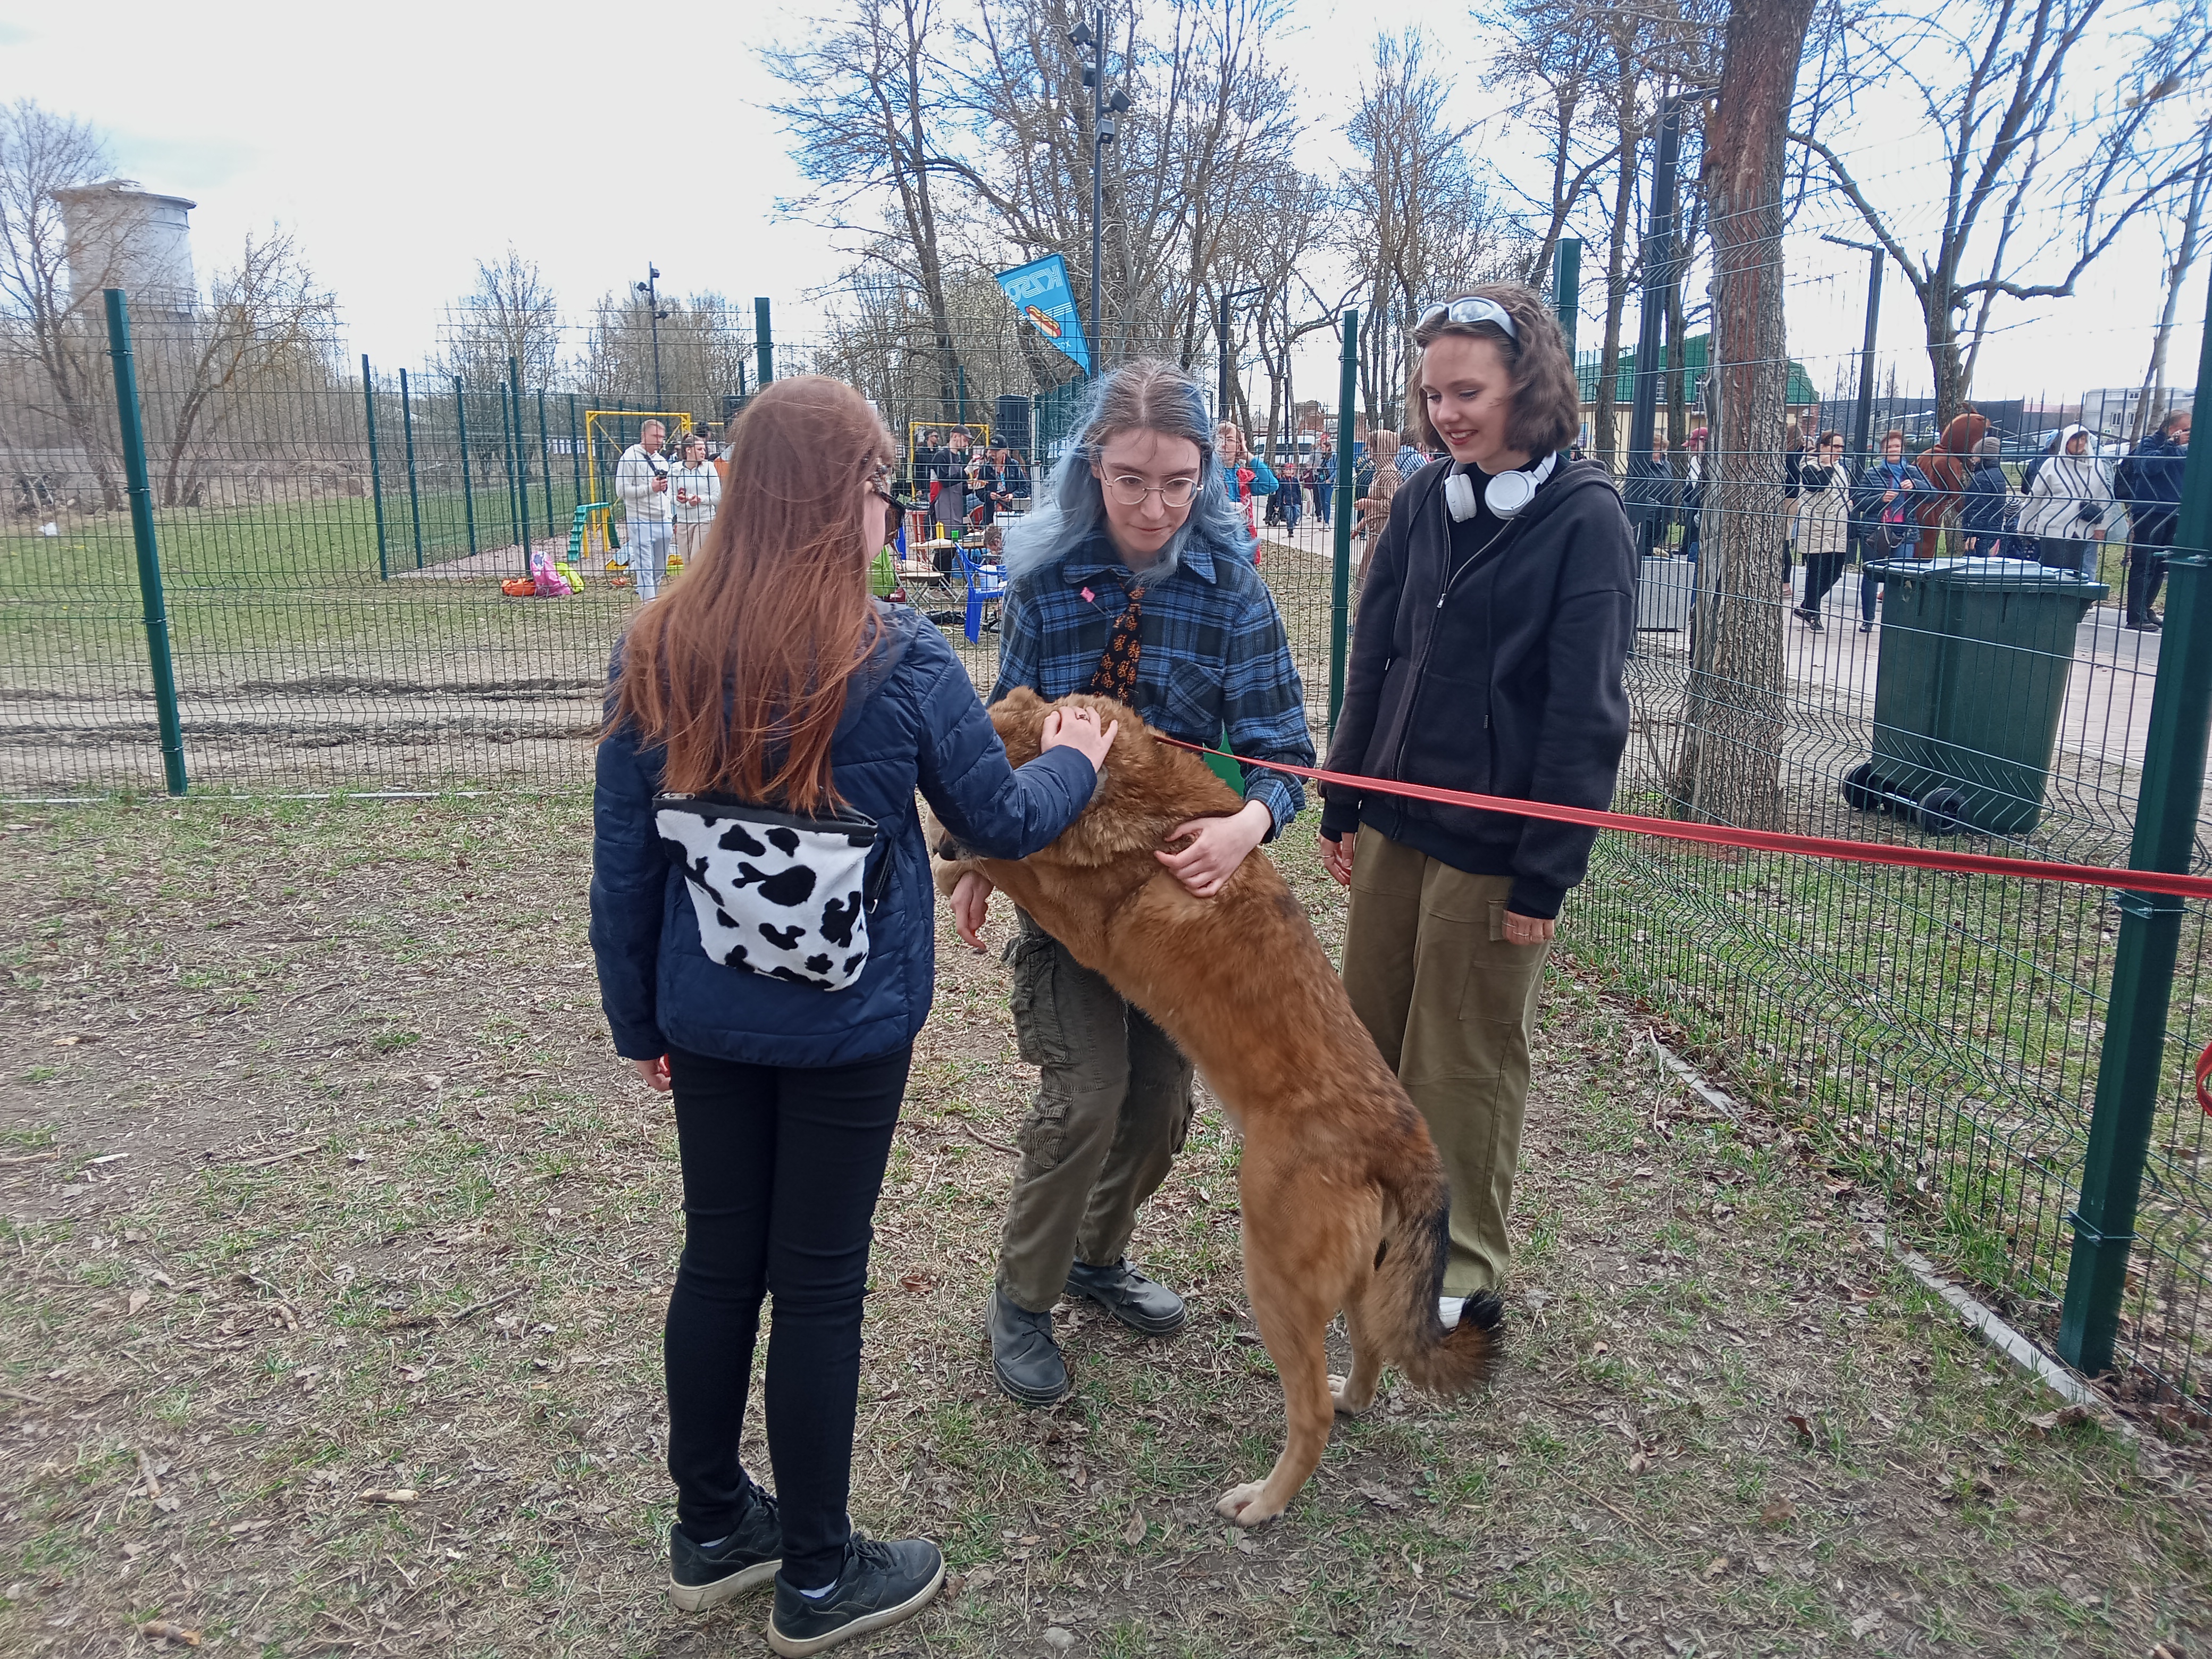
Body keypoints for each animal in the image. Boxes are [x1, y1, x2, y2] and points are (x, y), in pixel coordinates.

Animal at [924, 690, 1495, 1530]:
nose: (940, 830)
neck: (1124, 785)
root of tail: (1404, 1144)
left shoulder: (1069, 909)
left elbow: (1009, 862)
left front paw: (949, 864)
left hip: (1276, 1280)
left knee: (1307, 1415)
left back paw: (1263, 1502)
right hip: (1359, 1285)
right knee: (1370, 1354)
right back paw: (1350, 1401)